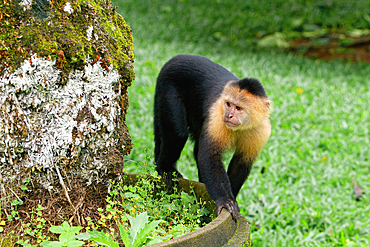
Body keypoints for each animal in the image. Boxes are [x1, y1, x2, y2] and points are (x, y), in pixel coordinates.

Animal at [153, 54, 272, 220]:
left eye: (238, 108)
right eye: (228, 104)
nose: (229, 115)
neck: (241, 126)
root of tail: (177, 57)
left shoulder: (262, 129)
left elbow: (241, 162)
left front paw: (233, 198)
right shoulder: (217, 115)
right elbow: (209, 155)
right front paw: (225, 201)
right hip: (168, 86)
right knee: (178, 133)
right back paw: (165, 169)